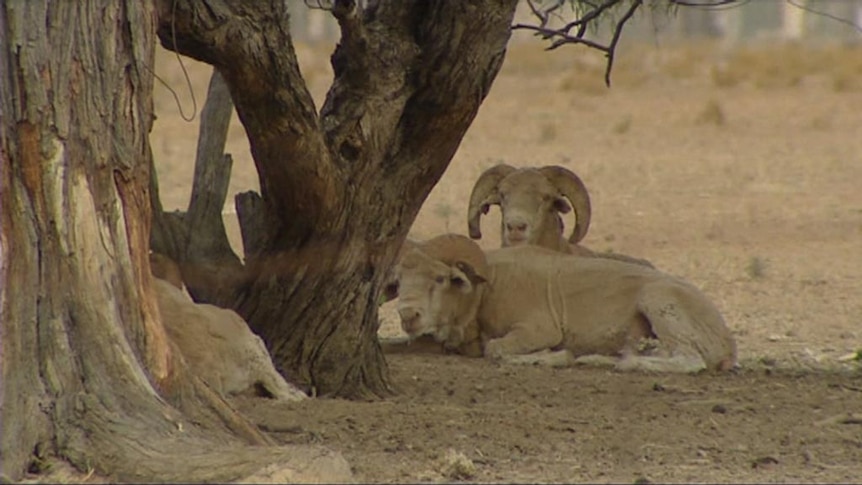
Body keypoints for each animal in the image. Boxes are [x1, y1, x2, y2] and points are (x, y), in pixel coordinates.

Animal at [392, 233, 736, 372]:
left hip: (658, 300)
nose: (408, 315)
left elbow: (496, 349)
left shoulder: (539, 329)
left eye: (440, 278)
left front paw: (551, 356)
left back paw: (624, 362)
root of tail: (726, 340)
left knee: (690, 360)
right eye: (399, 281)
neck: (485, 291)